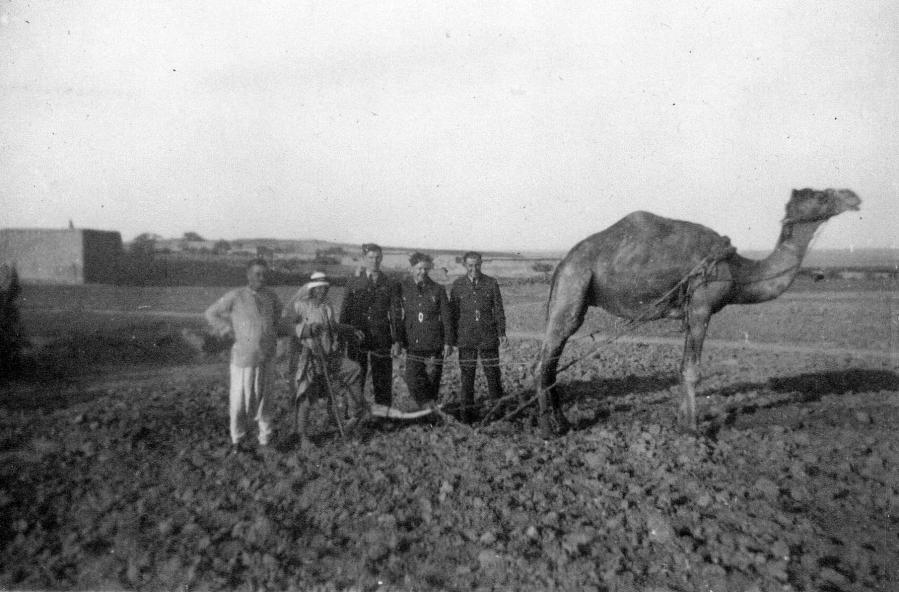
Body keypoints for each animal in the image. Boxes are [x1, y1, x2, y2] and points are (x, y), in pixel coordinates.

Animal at [536, 190, 860, 434]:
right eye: (821, 196)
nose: (852, 196)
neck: (738, 271)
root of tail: (563, 262)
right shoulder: (702, 307)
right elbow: (692, 370)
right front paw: (693, 429)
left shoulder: (691, 312)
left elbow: (682, 368)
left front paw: (681, 422)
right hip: (575, 284)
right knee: (545, 360)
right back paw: (551, 429)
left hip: (572, 287)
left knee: (551, 361)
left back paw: (563, 422)